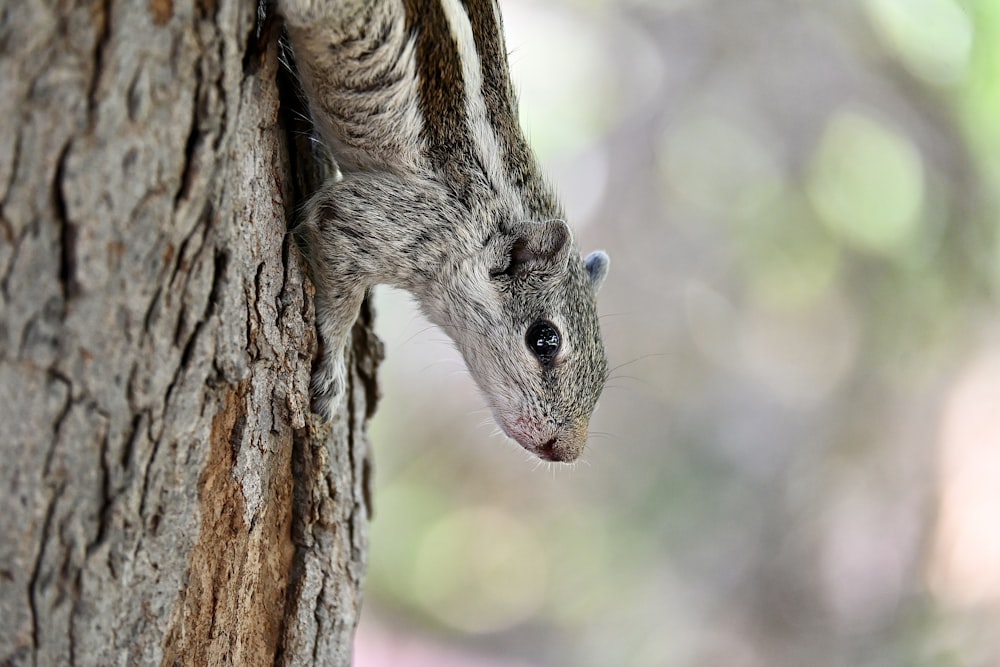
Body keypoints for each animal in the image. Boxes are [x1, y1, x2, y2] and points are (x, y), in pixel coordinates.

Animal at [280, 0, 608, 462]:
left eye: (605, 369)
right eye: (545, 340)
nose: (566, 451)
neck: (488, 221)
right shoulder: (390, 220)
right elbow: (338, 298)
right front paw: (332, 373)